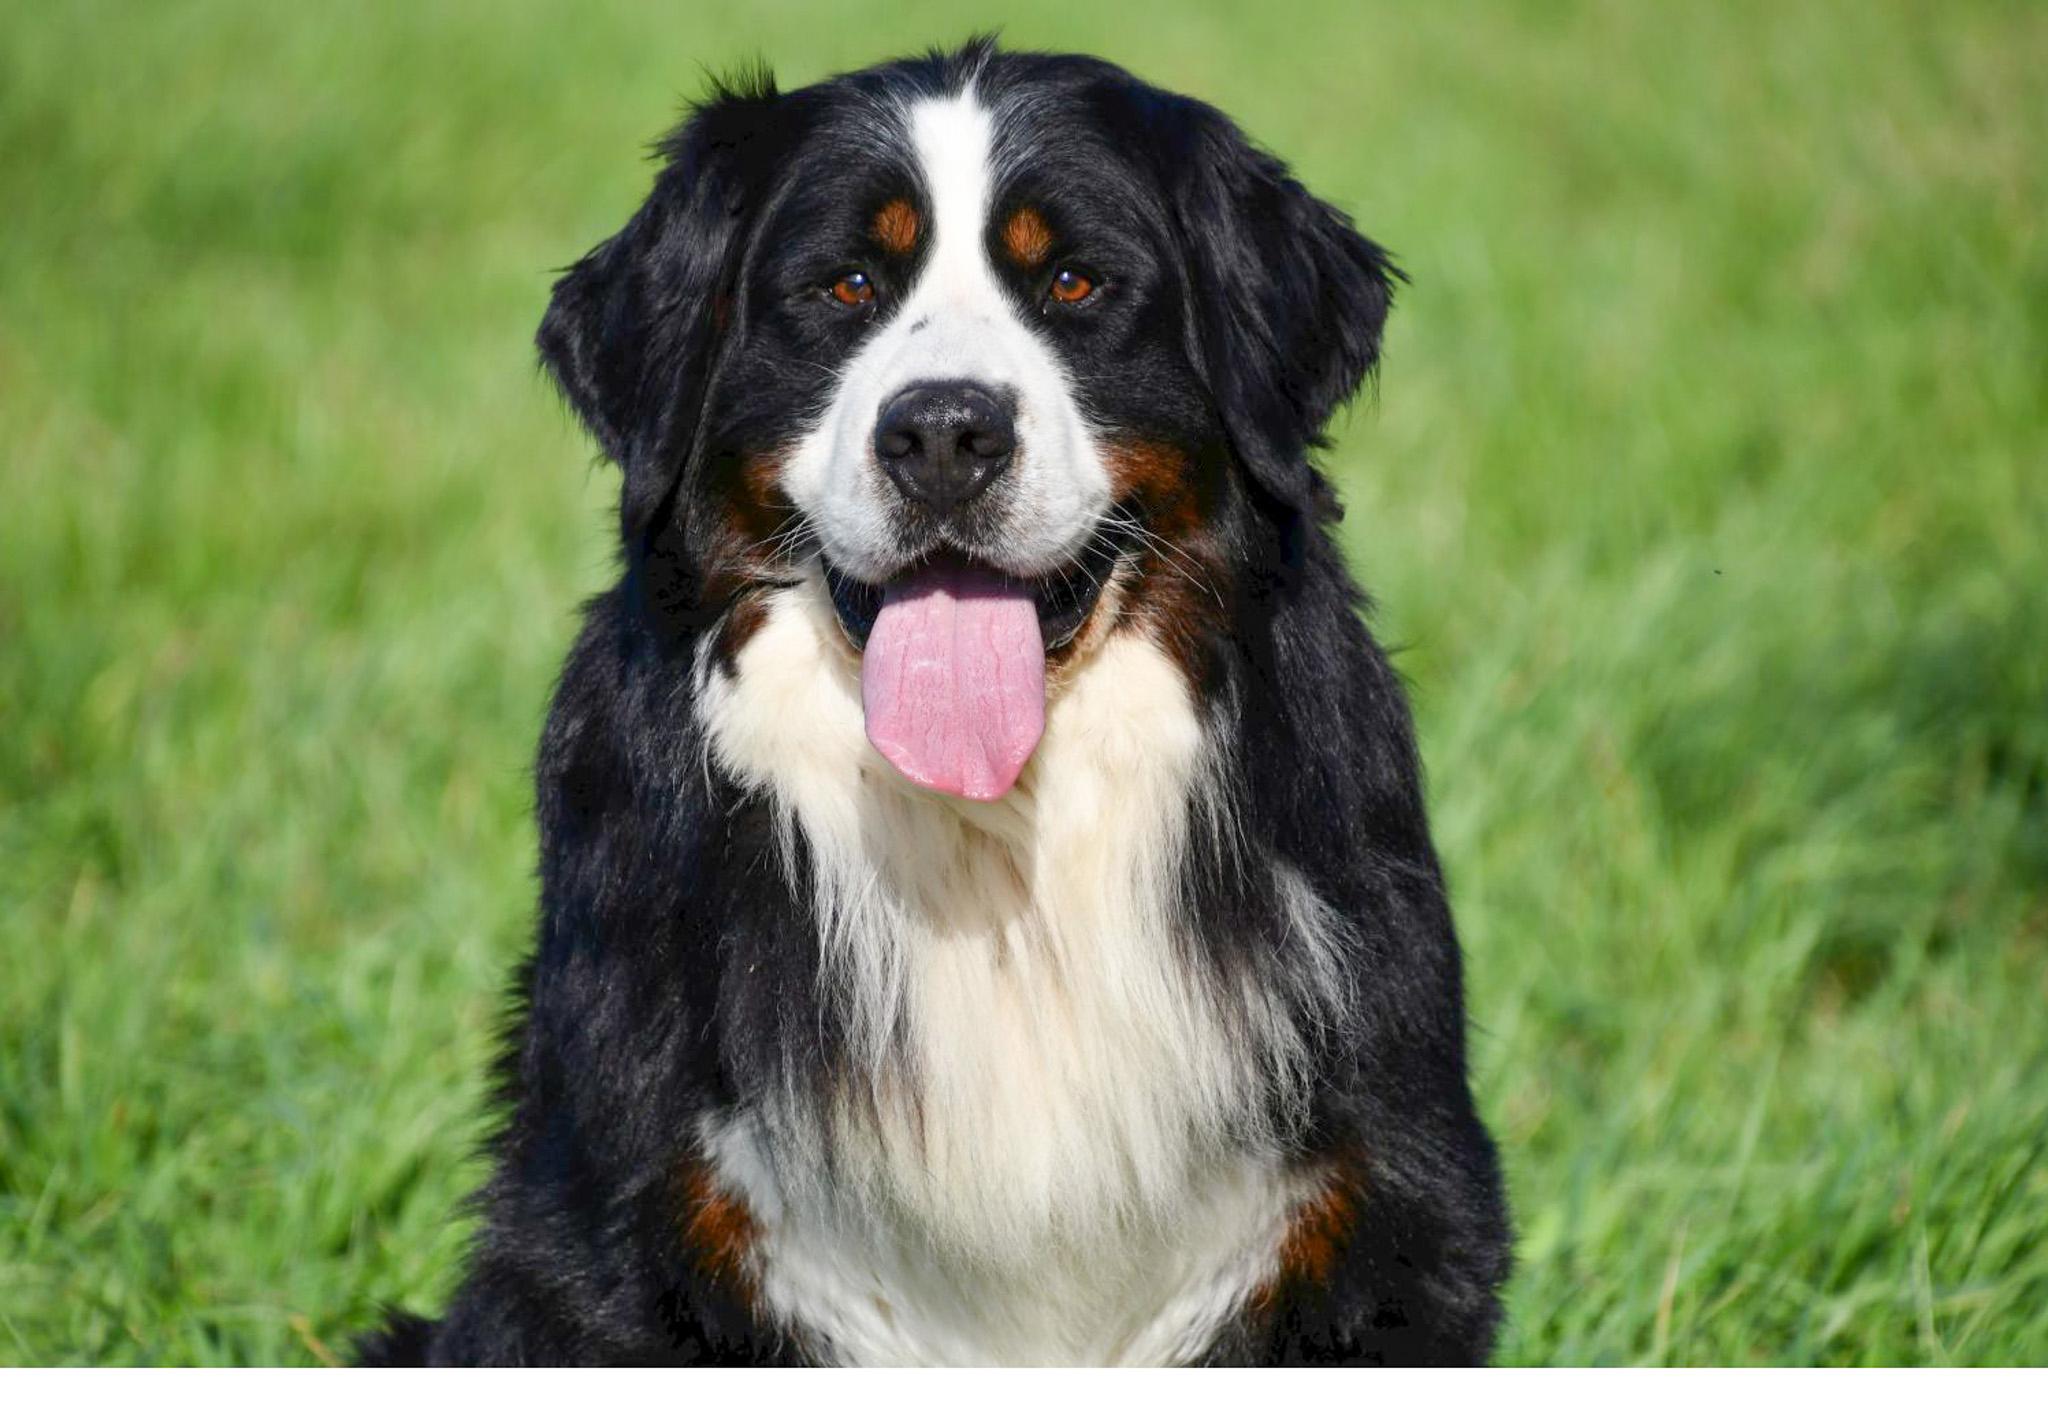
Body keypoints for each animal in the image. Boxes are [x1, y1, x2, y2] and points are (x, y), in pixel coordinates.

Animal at [356, 41, 1507, 1368]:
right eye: (846, 285)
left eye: (1072, 280)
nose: (945, 431)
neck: (991, 852)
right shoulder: (609, 1245)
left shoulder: (1369, 1218)